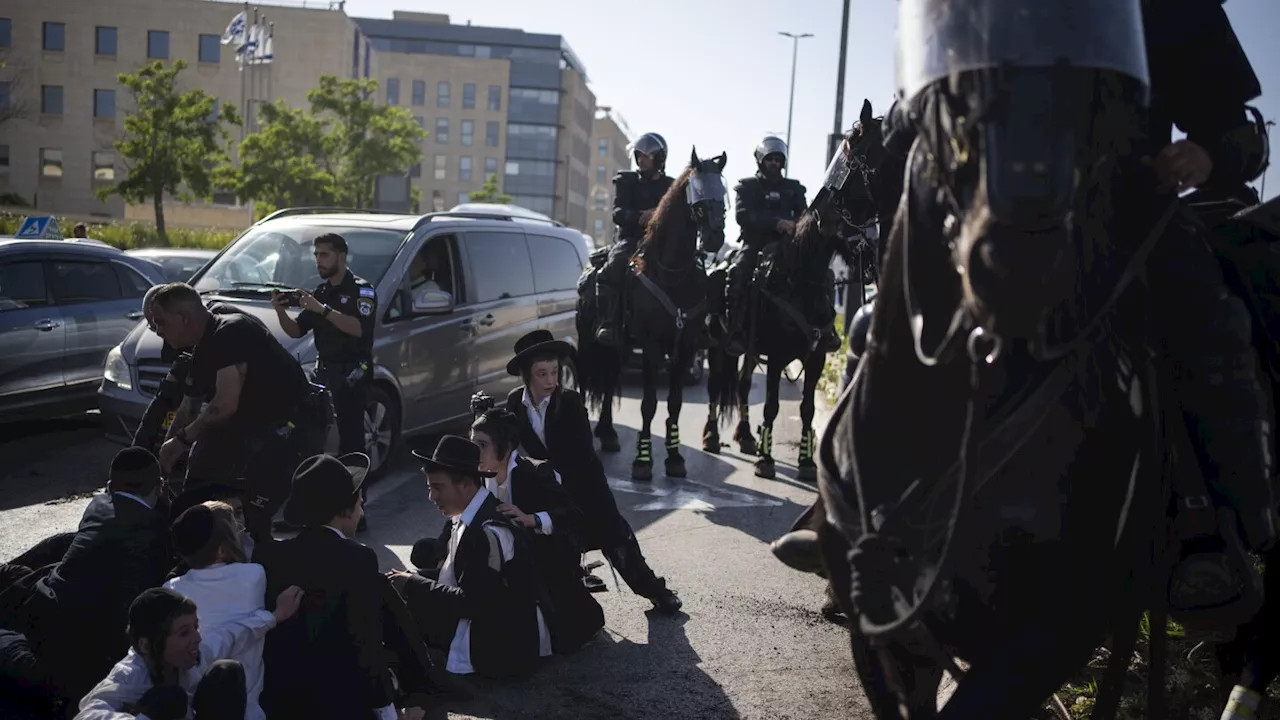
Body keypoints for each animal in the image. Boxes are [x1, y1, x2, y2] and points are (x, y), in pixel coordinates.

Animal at [576, 148, 727, 479]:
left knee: (609, 381)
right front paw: (643, 461)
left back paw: (608, 433)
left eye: (723, 191)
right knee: (583, 381)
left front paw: (674, 457)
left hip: (617, 347)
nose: (714, 237)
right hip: (587, 341)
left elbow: (675, 403)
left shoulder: (685, 346)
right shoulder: (651, 344)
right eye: (696, 190)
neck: (672, 274)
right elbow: (648, 404)